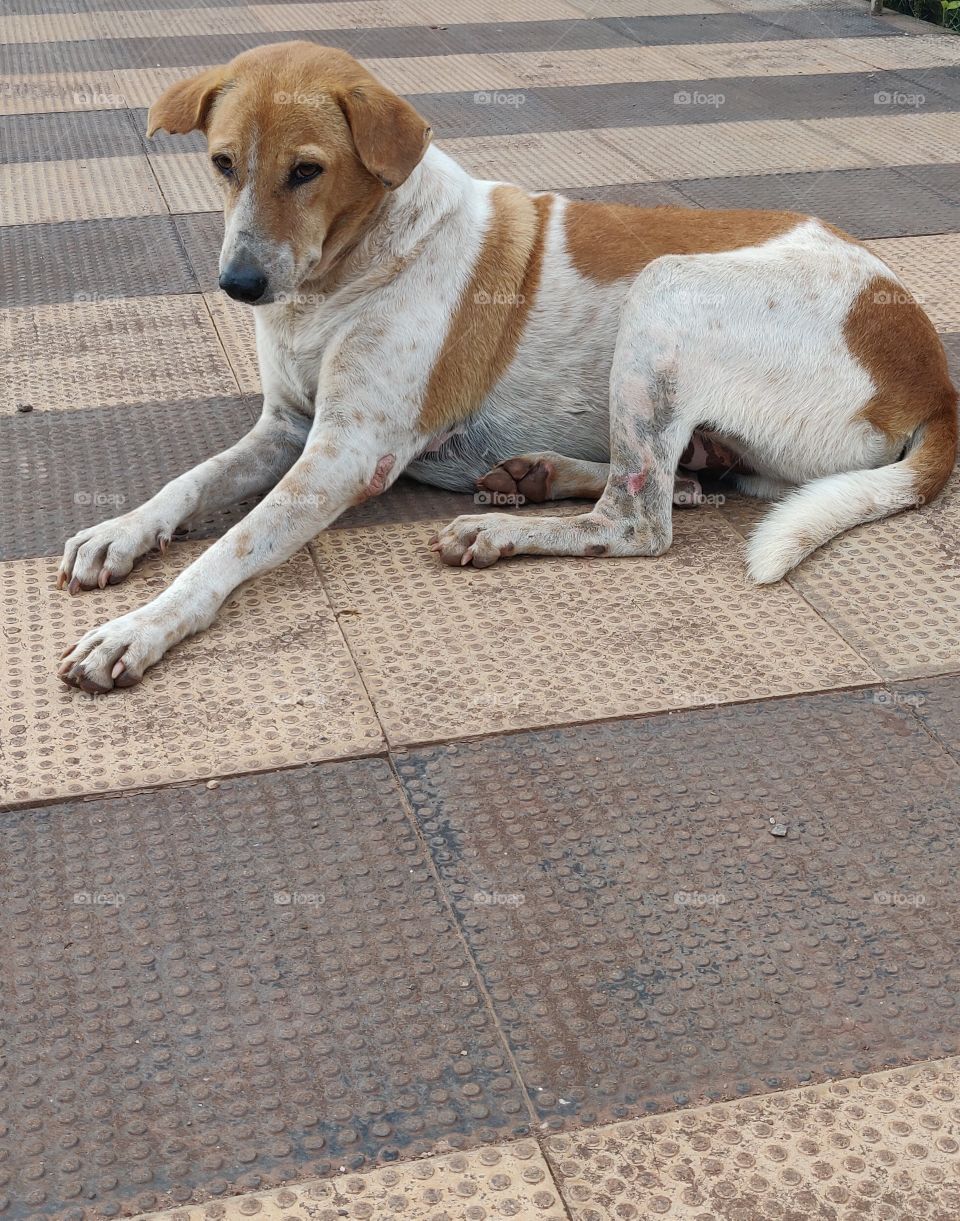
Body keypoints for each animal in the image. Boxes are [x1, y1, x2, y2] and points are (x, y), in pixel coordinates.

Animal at [56, 43, 952, 693]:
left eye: (306, 171)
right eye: (222, 164)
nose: (238, 285)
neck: (347, 271)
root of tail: (935, 375)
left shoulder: (343, 454)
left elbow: (234, 543)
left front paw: (142, 626)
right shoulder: (287, 426)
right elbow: (191, 482)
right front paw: (119, 531)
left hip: (667, 287)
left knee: (638, 520)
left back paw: (500, 525)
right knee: (679, 481)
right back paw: (547, 471)